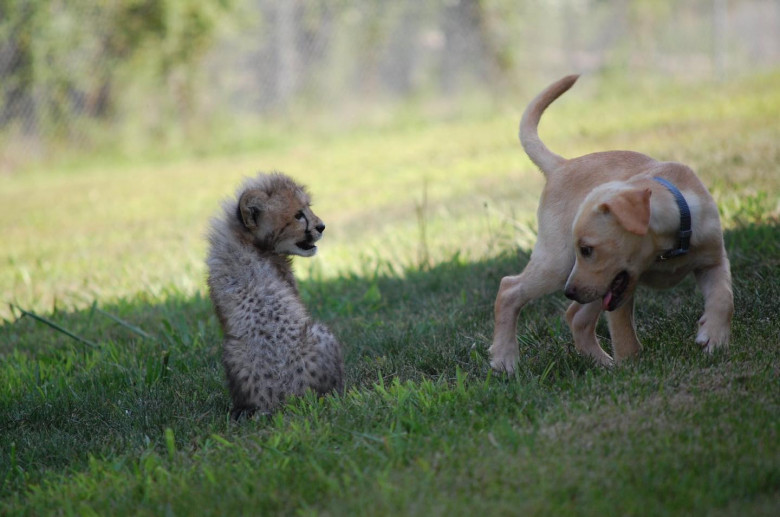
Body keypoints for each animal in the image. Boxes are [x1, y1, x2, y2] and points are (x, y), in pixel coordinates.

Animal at [490, 74, 736, 370]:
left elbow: (724, 297)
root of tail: (561, 165)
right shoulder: (620, 290)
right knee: (509, 288)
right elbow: (624, 334)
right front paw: (632, 370)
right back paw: (504, 358)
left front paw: (715, 338)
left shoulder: (713, 259)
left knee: (576, 316)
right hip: (558, 264)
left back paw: (602, 363)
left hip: (589, 284)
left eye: (587, 250)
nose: (569, 292)